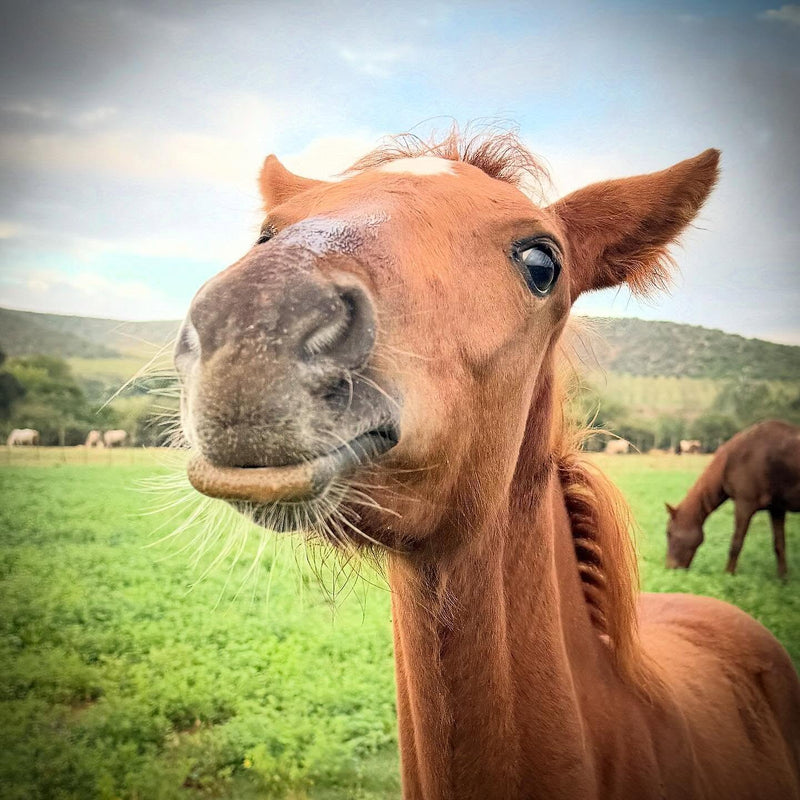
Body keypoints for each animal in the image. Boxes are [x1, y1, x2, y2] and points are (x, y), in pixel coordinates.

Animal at [666, 419, 800, 577]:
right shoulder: (777, 508)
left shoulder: (744, 503)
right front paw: (783, 578)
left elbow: (736, 543)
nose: (669, 568)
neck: (730, 460)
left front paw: (728, 574)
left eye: (669, 533)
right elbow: (779, 545)